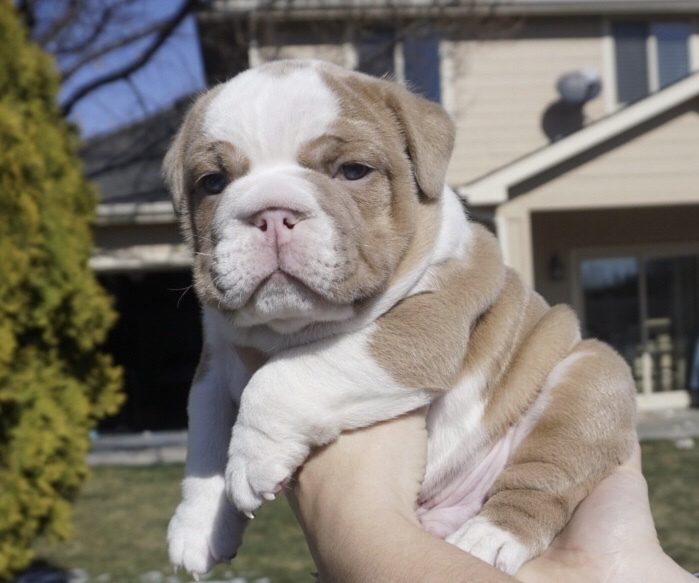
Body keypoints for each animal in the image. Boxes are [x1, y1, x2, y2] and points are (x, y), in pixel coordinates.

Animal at [165, 57, 640, 576]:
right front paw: (198, 526)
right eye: (213, 183)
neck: (290, 327)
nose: (270, 213)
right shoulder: (216, 363)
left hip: (588, 376)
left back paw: (490, 538)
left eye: (353, 171)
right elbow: (206, 438)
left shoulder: (424, 327)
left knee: (544, 478)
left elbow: (287, 375)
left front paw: (254, 456)